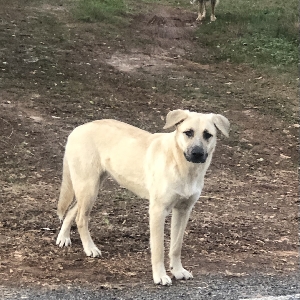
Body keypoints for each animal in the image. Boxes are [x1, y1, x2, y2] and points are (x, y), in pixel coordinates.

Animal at [56, 109, 230, 284]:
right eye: (188, 132)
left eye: (208, 135)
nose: (197, 153)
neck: (181, 163)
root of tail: (78, 129)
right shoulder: (158, 211)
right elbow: (159, 248)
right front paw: (160, 275)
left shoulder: (183, 210)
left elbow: (176, 246)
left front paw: (178, 271)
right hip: (89, 188)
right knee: (80, 218)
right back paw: (90, 248)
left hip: (91, 188)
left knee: (72, 210)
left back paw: (63, 237)